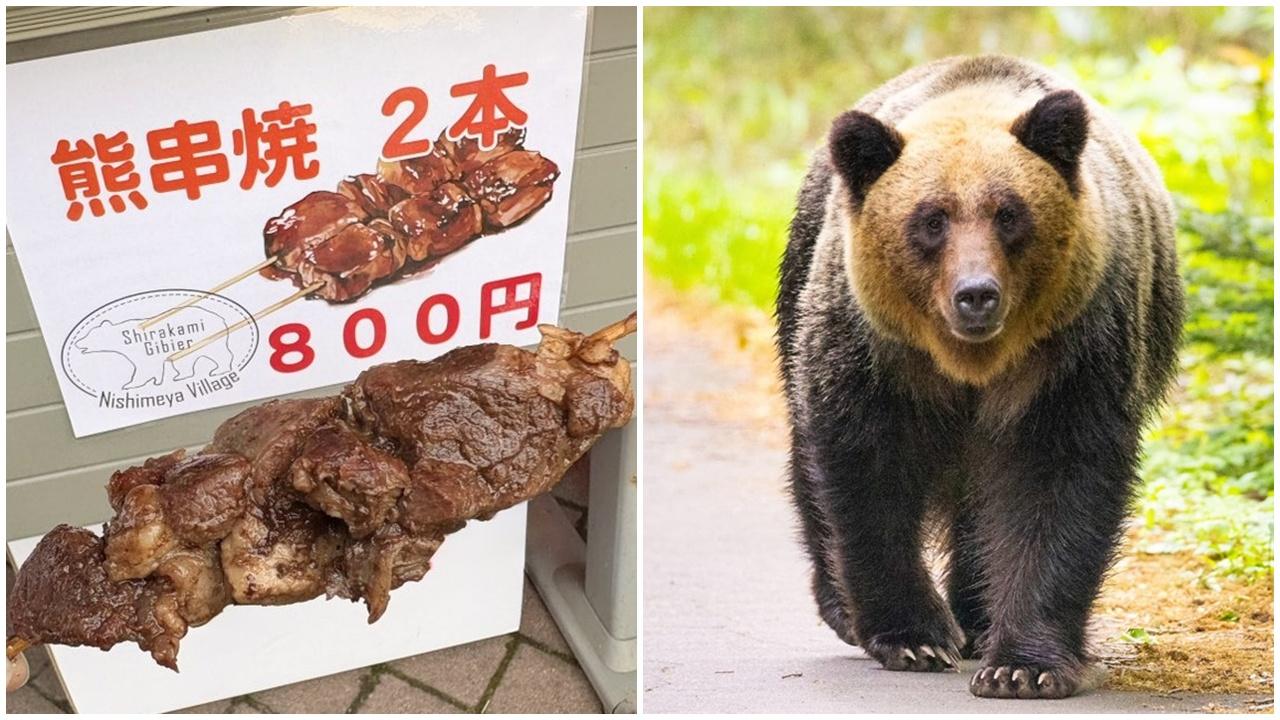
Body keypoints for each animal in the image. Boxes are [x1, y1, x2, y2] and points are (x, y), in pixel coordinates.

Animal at [776, 56, 1183, 699]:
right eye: (931, 219)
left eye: (1009, 213)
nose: (976, 295)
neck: (970, 362)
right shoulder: (874, 351)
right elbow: (868, 469)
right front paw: (914, 637)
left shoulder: (1071, 354)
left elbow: (1056, 482)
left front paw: (1023, 665)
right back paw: (845, 606)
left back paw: (977, 613)